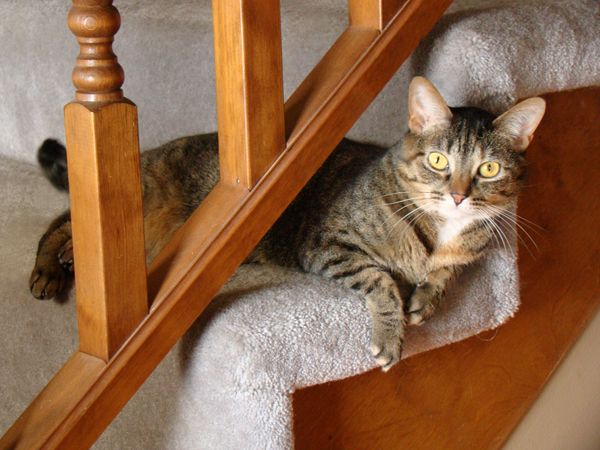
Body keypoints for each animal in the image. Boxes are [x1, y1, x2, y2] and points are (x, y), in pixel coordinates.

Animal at [28, 77, 544, 370]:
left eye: (489, 169)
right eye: (439, 160)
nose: (458, 196)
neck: (440, 231)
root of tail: (149, 153)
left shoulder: (463, 253)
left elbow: (443, 275)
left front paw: (426, 299)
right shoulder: (327, 244)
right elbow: (381, 281)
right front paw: (391, 332)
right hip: (144, 200)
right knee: (62, 222)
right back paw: (52, 267)